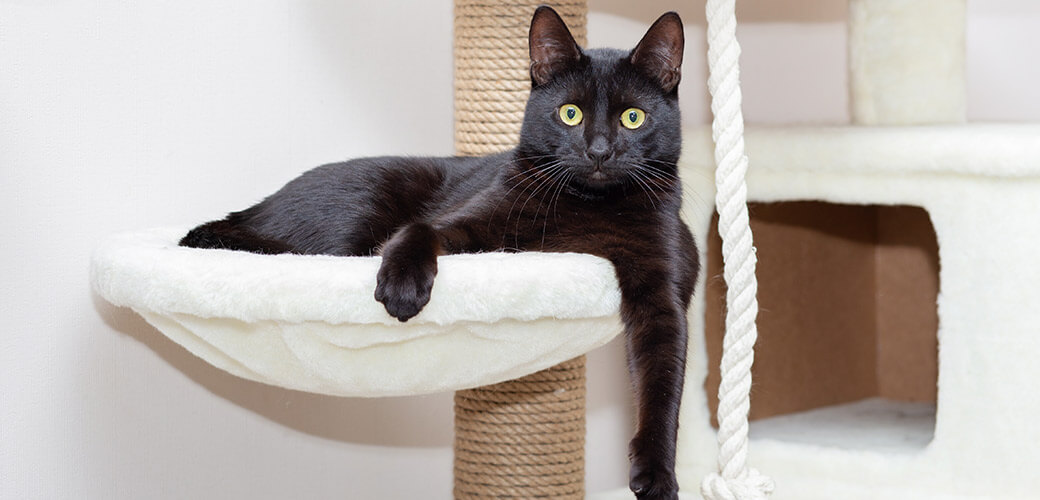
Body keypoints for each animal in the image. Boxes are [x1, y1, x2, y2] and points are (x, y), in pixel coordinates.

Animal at [182, 7, 698, 498]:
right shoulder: (471, 222)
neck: (590, 206)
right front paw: (402, 287)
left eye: (633, 118)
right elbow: (419, 229)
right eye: (569, 114)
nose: (599, 151)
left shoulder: (663, 288)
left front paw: (659, 476)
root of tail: (256, 207)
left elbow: (663, 383)